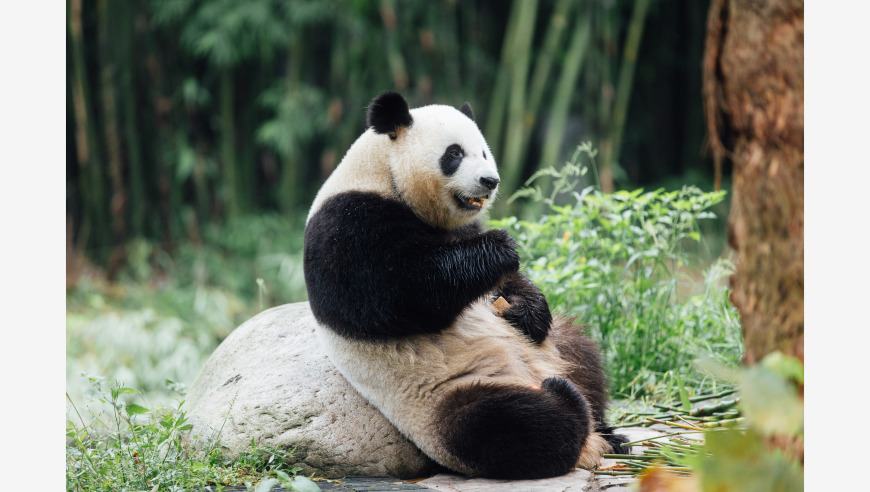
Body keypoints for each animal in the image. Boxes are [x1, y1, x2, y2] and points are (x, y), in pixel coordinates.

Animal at [306, 90, 628, 478]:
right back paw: (565, 401)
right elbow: (397, 294)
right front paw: (500, 248)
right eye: (454, 154)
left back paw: (609, 431)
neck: (384, 174)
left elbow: (507, 286)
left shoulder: (462, 225)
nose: (490, 181)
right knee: (507, 425)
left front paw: (526, 309)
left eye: (485, 152)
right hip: (441, 400)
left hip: (554, 349)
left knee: (583, 354)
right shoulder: (346, 225)